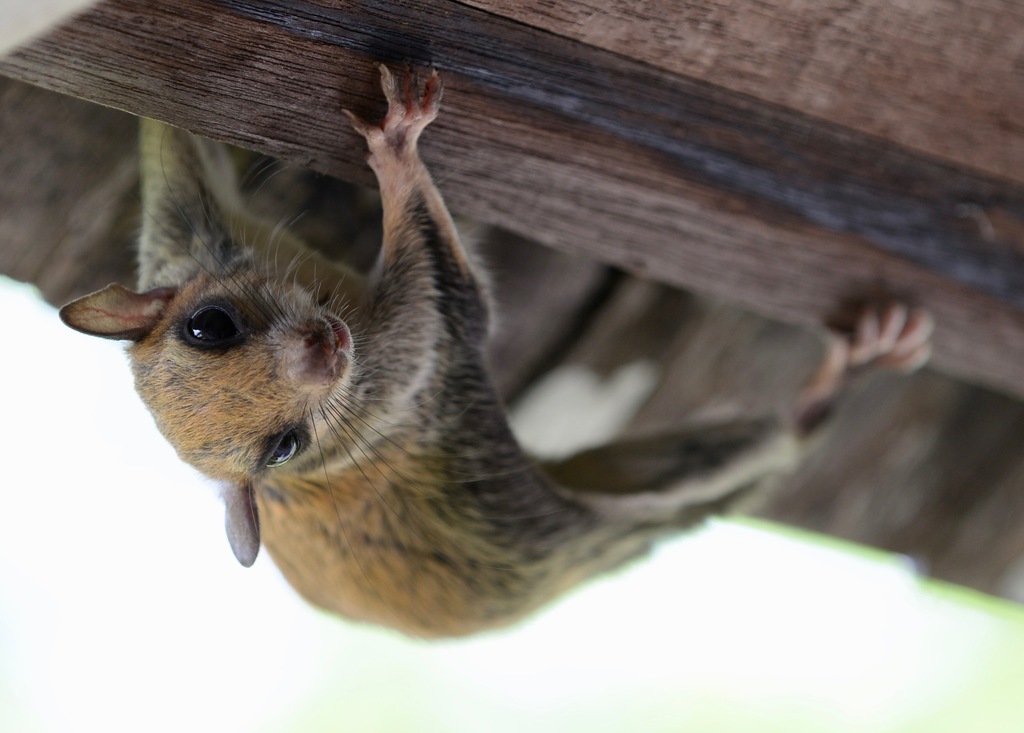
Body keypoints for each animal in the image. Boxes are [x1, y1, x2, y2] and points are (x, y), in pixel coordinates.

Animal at [59, 65, 933, 638]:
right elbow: (464, 298)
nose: (323, 350)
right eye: (285, 444)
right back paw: (832, 382)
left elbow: (178, 161)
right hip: (642, 501)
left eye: (209, 325)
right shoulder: (413, 367)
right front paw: (399, 148)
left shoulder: (183, 239)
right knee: (757, 454)